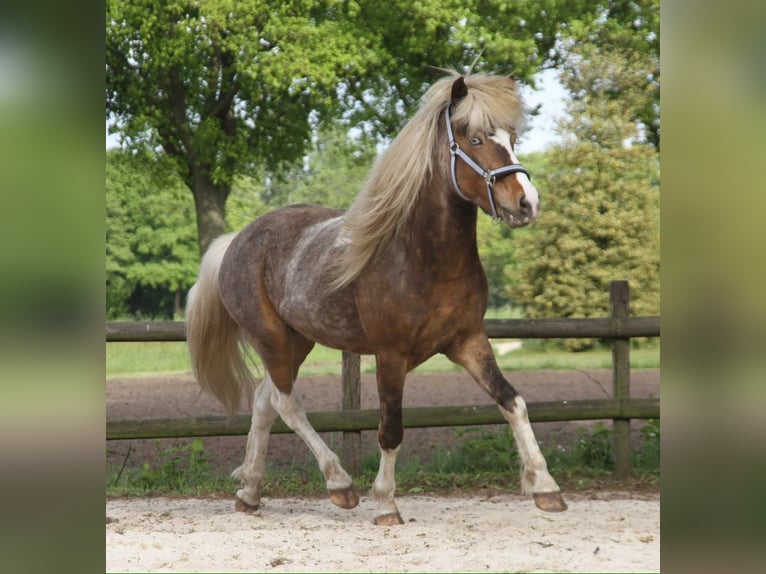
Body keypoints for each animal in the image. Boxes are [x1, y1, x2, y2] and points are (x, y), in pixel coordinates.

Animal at [186, 71, 567, 525]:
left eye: (512, 137)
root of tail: (235, 241)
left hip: (298, 341)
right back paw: (340, 484)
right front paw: (385, 503)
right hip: (271, 338)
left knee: (266, 403)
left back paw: (250, 491)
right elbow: (391, 429)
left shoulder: (469, 342)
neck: (424, 259)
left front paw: (545, 487)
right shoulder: (390, 355)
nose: (527, 203)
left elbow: (513, 402)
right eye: (474, 139)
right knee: (287, 404)